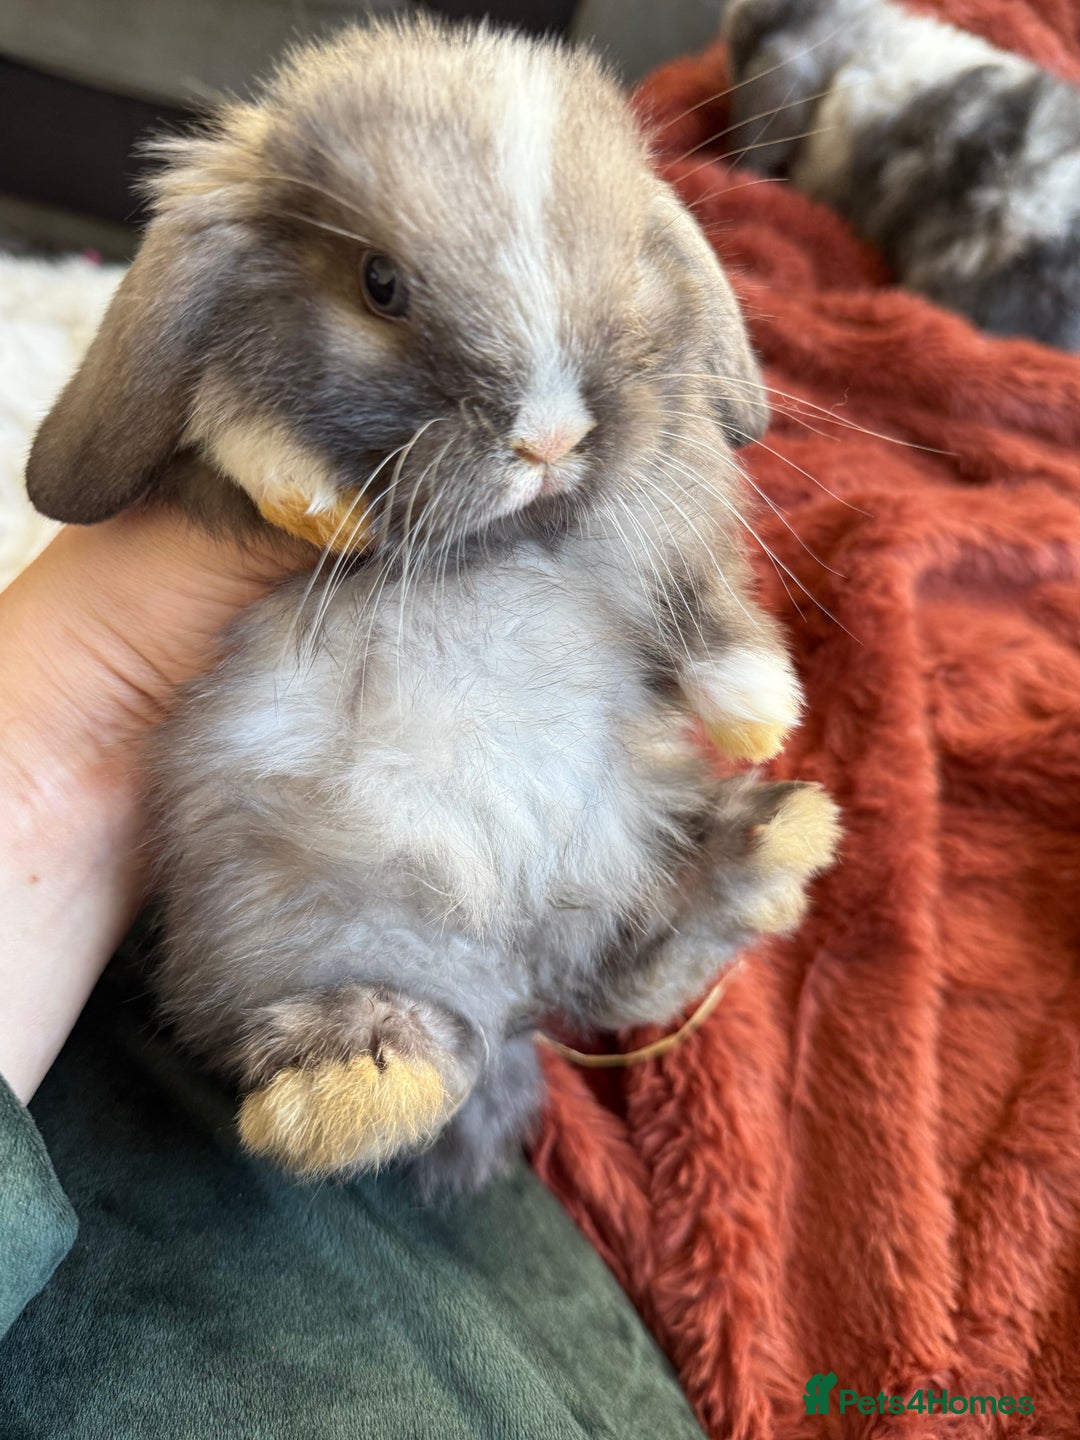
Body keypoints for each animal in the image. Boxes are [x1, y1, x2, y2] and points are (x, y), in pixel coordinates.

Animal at [26, 16, 839, 1195]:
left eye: (627, 258)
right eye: (379, 285)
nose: (549, 437)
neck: (503, 536)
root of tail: (514, 982)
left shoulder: (667, 508)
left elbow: (704, 601)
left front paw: (761, 714)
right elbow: (230, 431)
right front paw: (312, 497)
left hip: (637, 832)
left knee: (632, 969)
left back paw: (777, 843)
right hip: (286, 937)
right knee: (400, 1048)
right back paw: (353, 1091)